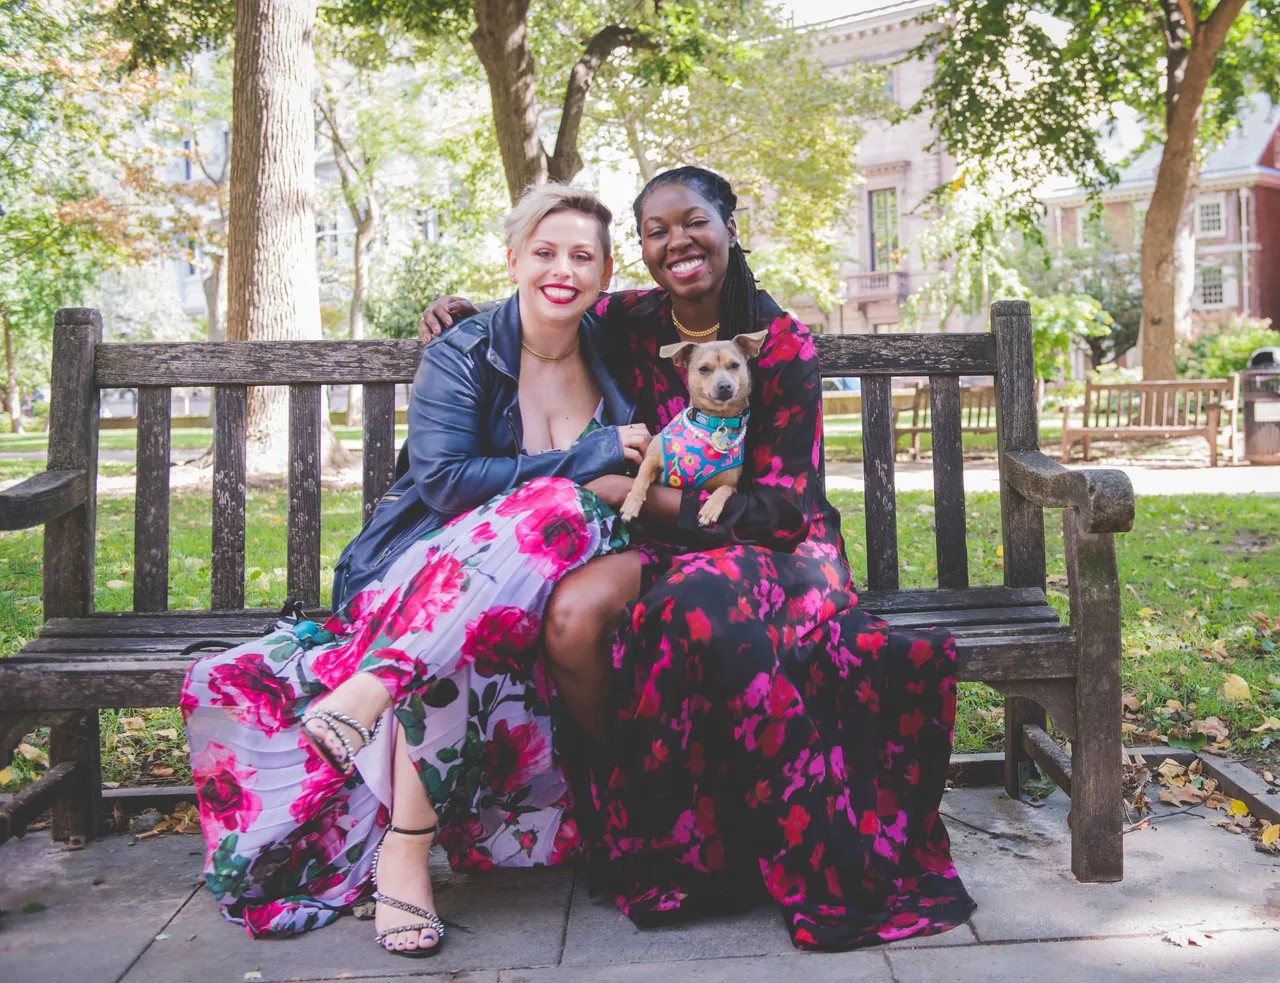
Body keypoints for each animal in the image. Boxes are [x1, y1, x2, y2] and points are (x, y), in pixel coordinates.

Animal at [622, 330, 768, 527]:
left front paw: (710, 509)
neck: (715, 421)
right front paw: (631, 503)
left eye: (735, 365)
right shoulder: (651, 460)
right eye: (704, 369)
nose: (724, 386)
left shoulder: (732, 486)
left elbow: (724, 489)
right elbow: (641, 477)